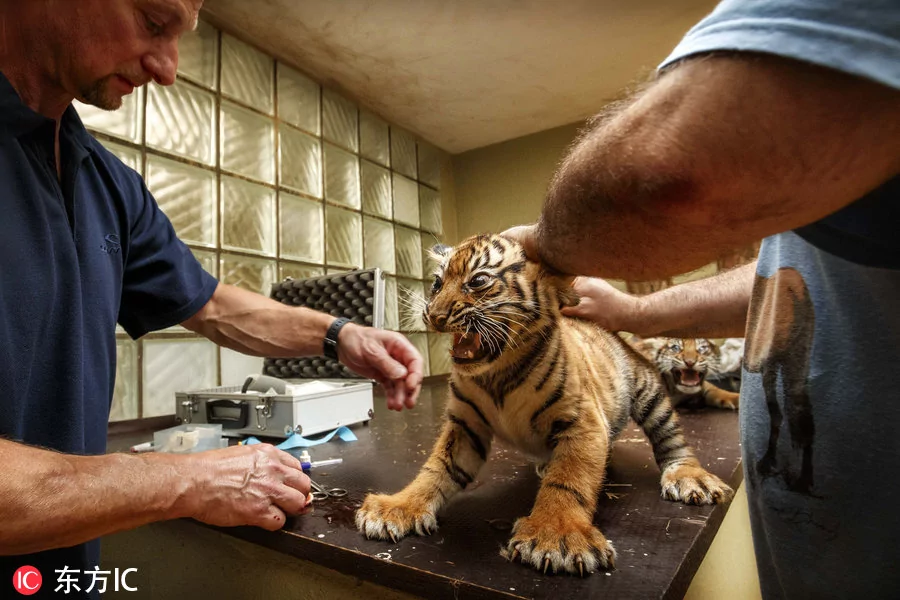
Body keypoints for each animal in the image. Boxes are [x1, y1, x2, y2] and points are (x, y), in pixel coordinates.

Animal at [355, 234, 733, 576]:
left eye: (477, 281)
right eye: (436, 284)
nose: (433, 315)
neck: (497, 376)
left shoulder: (582, 423)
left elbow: (569, 480)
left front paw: (557, 536)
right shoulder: (465, 425)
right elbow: (436, 469)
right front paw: (396, 508)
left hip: (649, 391)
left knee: (671, 437)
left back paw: (688, 476)